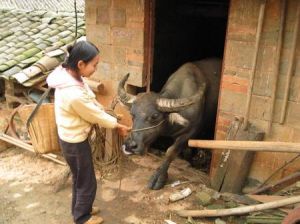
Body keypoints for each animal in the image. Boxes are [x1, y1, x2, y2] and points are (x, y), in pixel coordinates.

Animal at [119, 57, 220, 189]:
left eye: (155, 116)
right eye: (132, 114)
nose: (130, 146)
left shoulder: (190, 132)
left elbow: (170, 151)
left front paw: (159, 178)